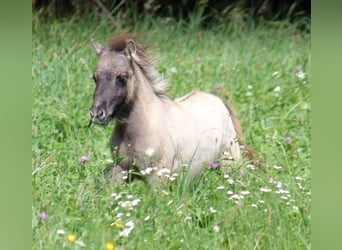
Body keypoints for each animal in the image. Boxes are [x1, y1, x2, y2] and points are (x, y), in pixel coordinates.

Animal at [88, 32, 243, 183]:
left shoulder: (157, 176)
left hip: (230, 163)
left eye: (122, 78)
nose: (97, 114)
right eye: (95, 77)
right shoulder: (121, 169)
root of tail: (217, 98)